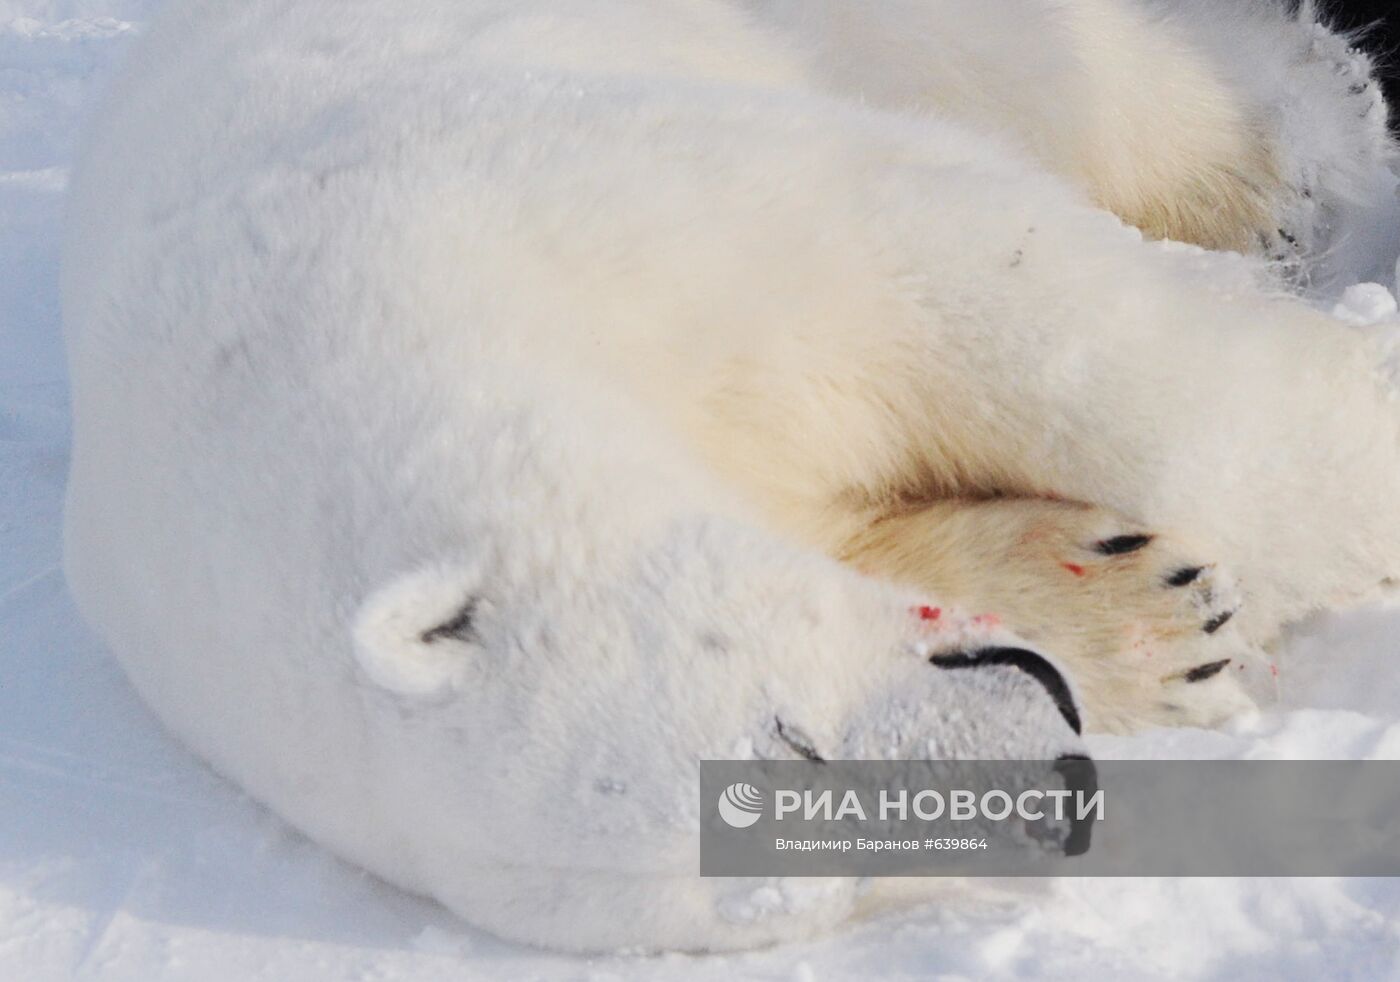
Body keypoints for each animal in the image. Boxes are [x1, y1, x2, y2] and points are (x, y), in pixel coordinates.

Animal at [63, 0, 1400, 952]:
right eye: (806, 877)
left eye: (782, 744)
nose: (1057, 788)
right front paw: (1151, 617)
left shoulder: (574, 202)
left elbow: (988, 294)